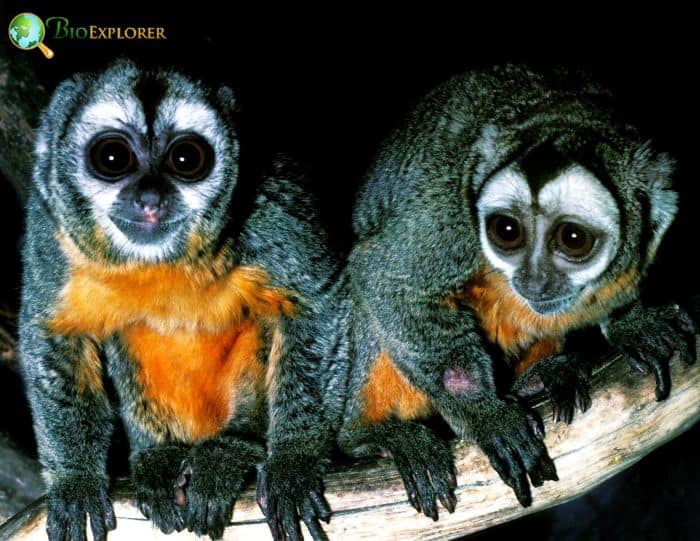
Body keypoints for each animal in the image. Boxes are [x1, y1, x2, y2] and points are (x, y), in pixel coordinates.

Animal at [19, 59, 336, 541]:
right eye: (112, 158)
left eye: (186, 159)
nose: (150, 198)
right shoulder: (49, 228)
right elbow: (51, 333)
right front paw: (76, 480)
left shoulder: (273, 209)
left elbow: (314, 302)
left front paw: (293, 461)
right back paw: (160, 458)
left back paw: (231, 450)